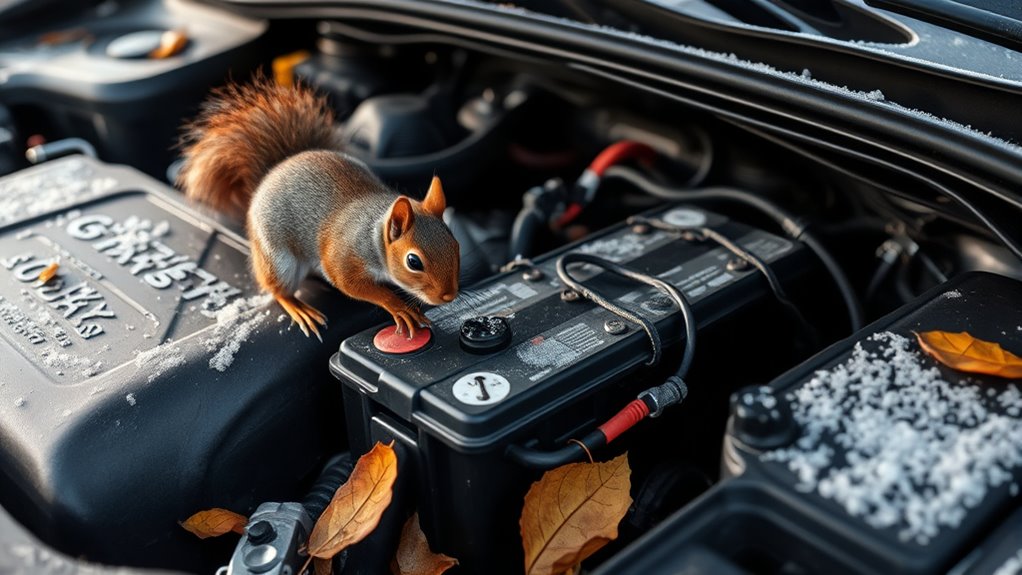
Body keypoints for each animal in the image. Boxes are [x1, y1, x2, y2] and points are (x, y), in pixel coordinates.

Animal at [176, 76, 460, 340]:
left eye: (455, 245)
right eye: (413, 261)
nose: (449, 296)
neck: (372, 236)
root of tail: (272, 172)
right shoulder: (342, 258)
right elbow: (353, 285)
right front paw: (399, 306)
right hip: (278, 259)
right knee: (277, 290)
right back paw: (299, 308)